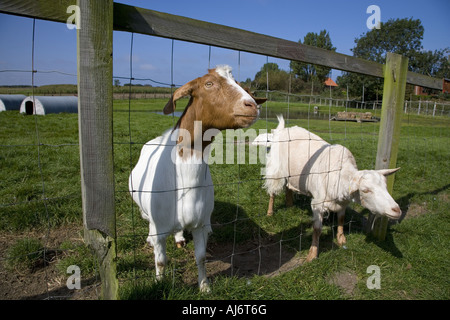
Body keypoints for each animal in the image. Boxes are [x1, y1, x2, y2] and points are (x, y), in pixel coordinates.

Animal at [128, 65, 266, 292]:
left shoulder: (200, 225)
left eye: (238, 83)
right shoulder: (160, 228)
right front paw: (159, 283)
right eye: (208, 84)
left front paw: (205, 286)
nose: (252, 106)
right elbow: (161, 260)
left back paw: (180, 238)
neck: (183, 181)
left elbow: (200, 258)